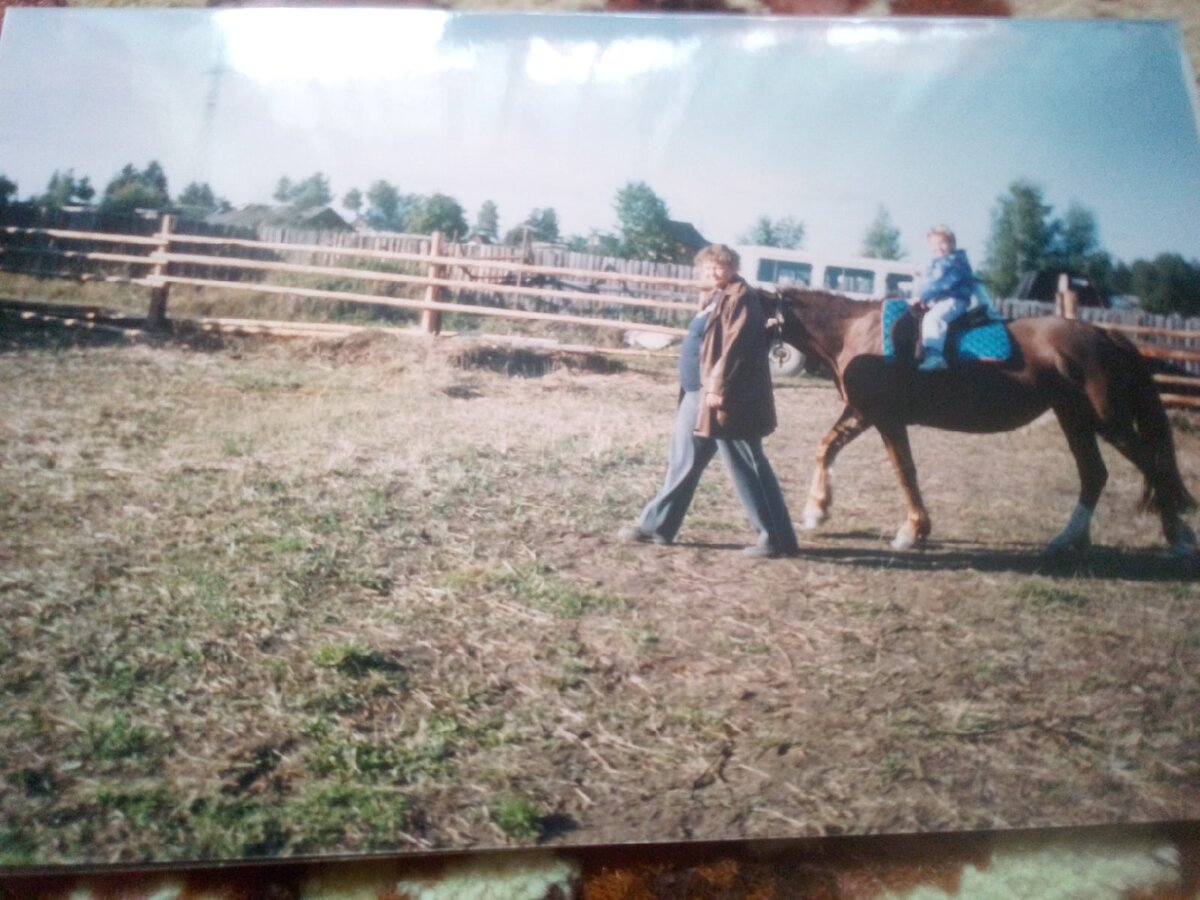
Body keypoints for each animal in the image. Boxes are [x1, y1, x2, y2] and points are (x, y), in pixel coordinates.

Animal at [763, 289, 1195, 556]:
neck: (854, 330)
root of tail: (1108, 336)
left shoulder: (884, 417)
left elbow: (905, 471)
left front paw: (913, 531)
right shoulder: (861, 413)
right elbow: (826, 448)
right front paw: (816, 511)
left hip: (1108, 422)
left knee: (1153, 465)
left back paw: (1177, 538)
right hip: (1075, 419)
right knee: (1094, 474)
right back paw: (1069, 539)